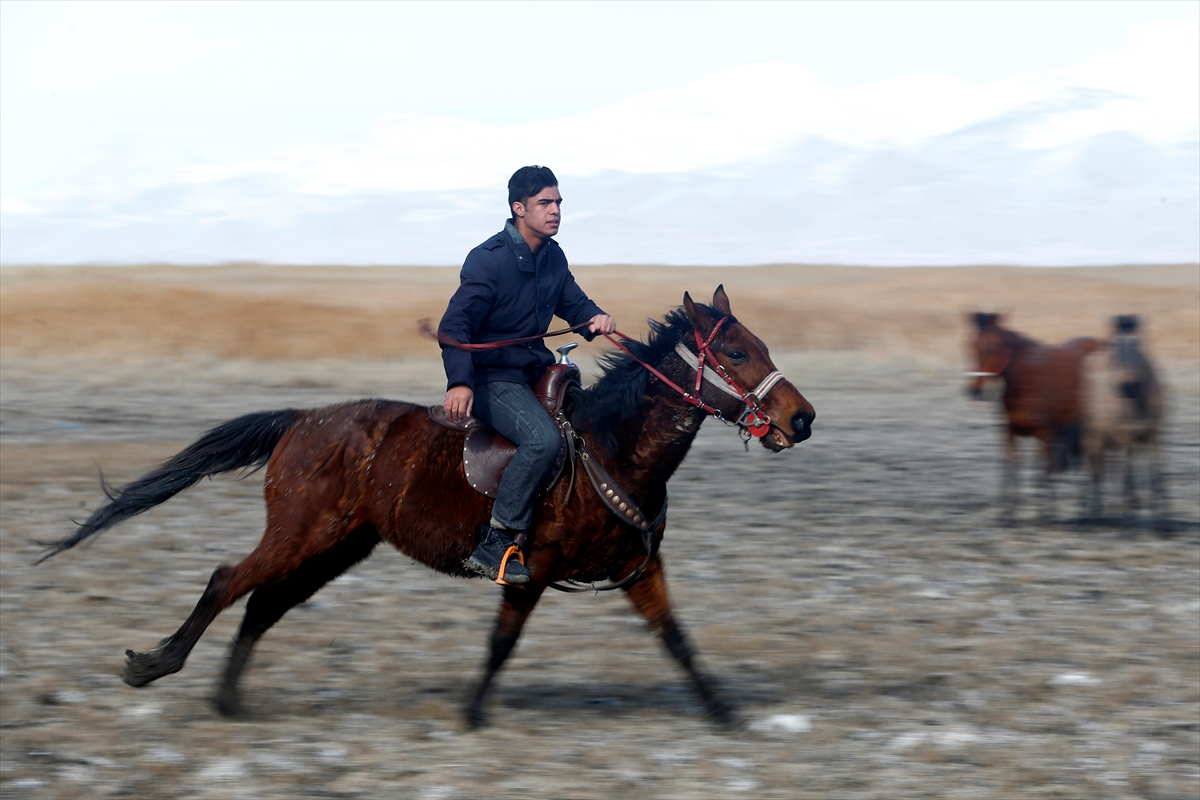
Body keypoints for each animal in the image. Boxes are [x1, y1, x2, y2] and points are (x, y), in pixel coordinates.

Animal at [38, 286, 815, 727]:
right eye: (737, 352)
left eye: (759, 344)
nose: (802, 418)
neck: (610, 446)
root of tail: (301, 420)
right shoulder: (532, 567)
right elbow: (502, 643)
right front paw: (470, 714)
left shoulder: (639, 570)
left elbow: (678, 641)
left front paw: (724, 713)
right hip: (300, 534)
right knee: (228, 581)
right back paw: (154, 666)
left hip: (339, 545)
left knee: (263, 603)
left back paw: (229, 701)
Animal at [966, 312, 1102, 523]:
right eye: (973, 345)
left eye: (998, 347)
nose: (978, 391)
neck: (1026, 381)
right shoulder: (1011, 432)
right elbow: (1010, 466)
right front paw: (1007, 511)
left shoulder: (1044, 434)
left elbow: (1042, 468)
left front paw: (1045, 511)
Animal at [1081, 315, 1167, 529]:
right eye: (1115, 352)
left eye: (1139, 347)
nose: (1127, 384)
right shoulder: (1125, 436)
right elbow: (1128, 475)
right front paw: (1129, 516)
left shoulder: (1153, 435)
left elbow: (1155, 475)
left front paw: (1162, 520)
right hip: (1095, 435)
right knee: (1095, 469)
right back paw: (1092, 512)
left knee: (1107, 468)